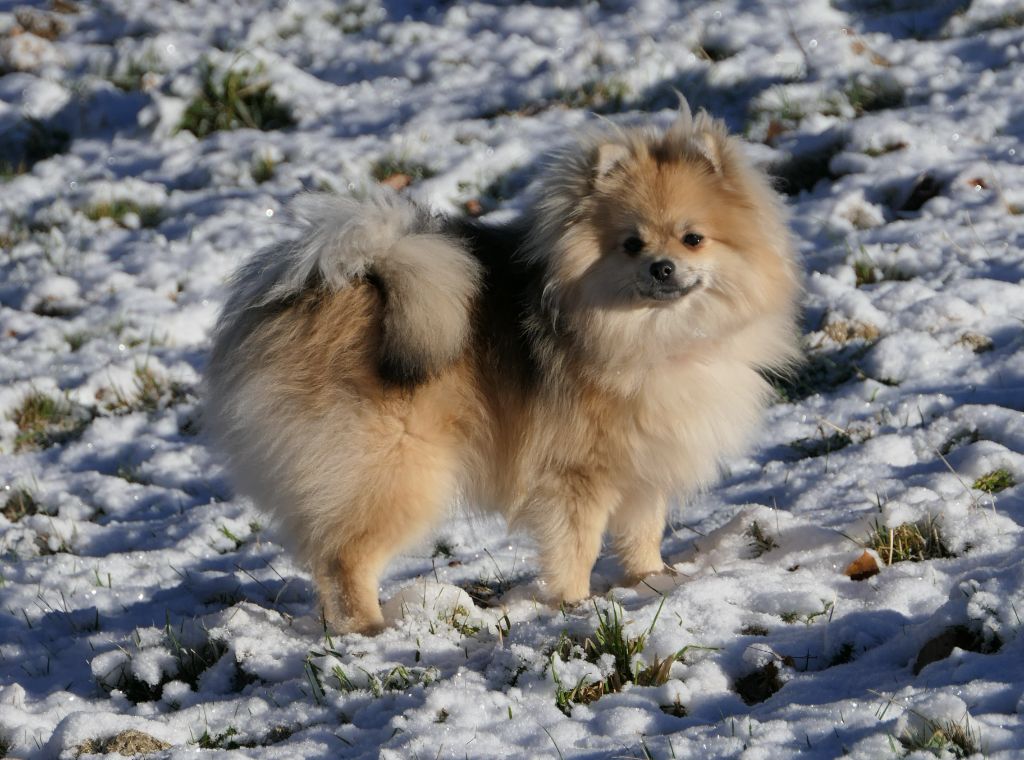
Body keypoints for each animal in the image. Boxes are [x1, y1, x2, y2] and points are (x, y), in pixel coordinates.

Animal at [206, 104, 801, 634]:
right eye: (631, 245)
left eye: (693, 238)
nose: (662, 267)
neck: (654, 334)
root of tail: (341, 283)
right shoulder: (575, 474)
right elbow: (577, 545)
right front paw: (575, 605)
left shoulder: (643, 461)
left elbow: (641, 532)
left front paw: (652, 581)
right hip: (393, 469)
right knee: (344, 558)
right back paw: (370, 629)